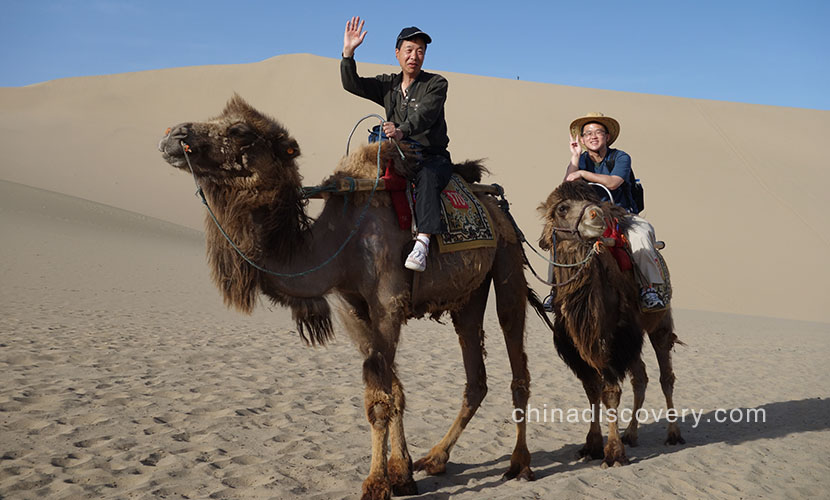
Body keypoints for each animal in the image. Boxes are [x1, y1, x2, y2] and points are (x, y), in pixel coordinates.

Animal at [158, 95, 544, 498]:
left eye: (240, 132)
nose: (174, 134)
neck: (340, 238)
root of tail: (494, 202)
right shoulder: (351, 310)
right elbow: (392, 390)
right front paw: (401, 474)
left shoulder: (388, 304)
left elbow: (379, 398)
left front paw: (376, 483)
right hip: (467, 296)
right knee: (475, 377)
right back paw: (436, 458)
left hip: (507, 259)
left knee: (517, 362)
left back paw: (520, 464)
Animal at [536, 181, 684, 468]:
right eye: (562, 208)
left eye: (596, 202)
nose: (597, 216)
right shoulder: (577, 346)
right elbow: (593, 390)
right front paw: (591, 446)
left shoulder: (613, 341)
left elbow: (611, 392)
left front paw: (614, 453)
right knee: (641, 378)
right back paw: (631, 434)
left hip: (658, 322)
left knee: (665, 376)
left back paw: (673, 435)